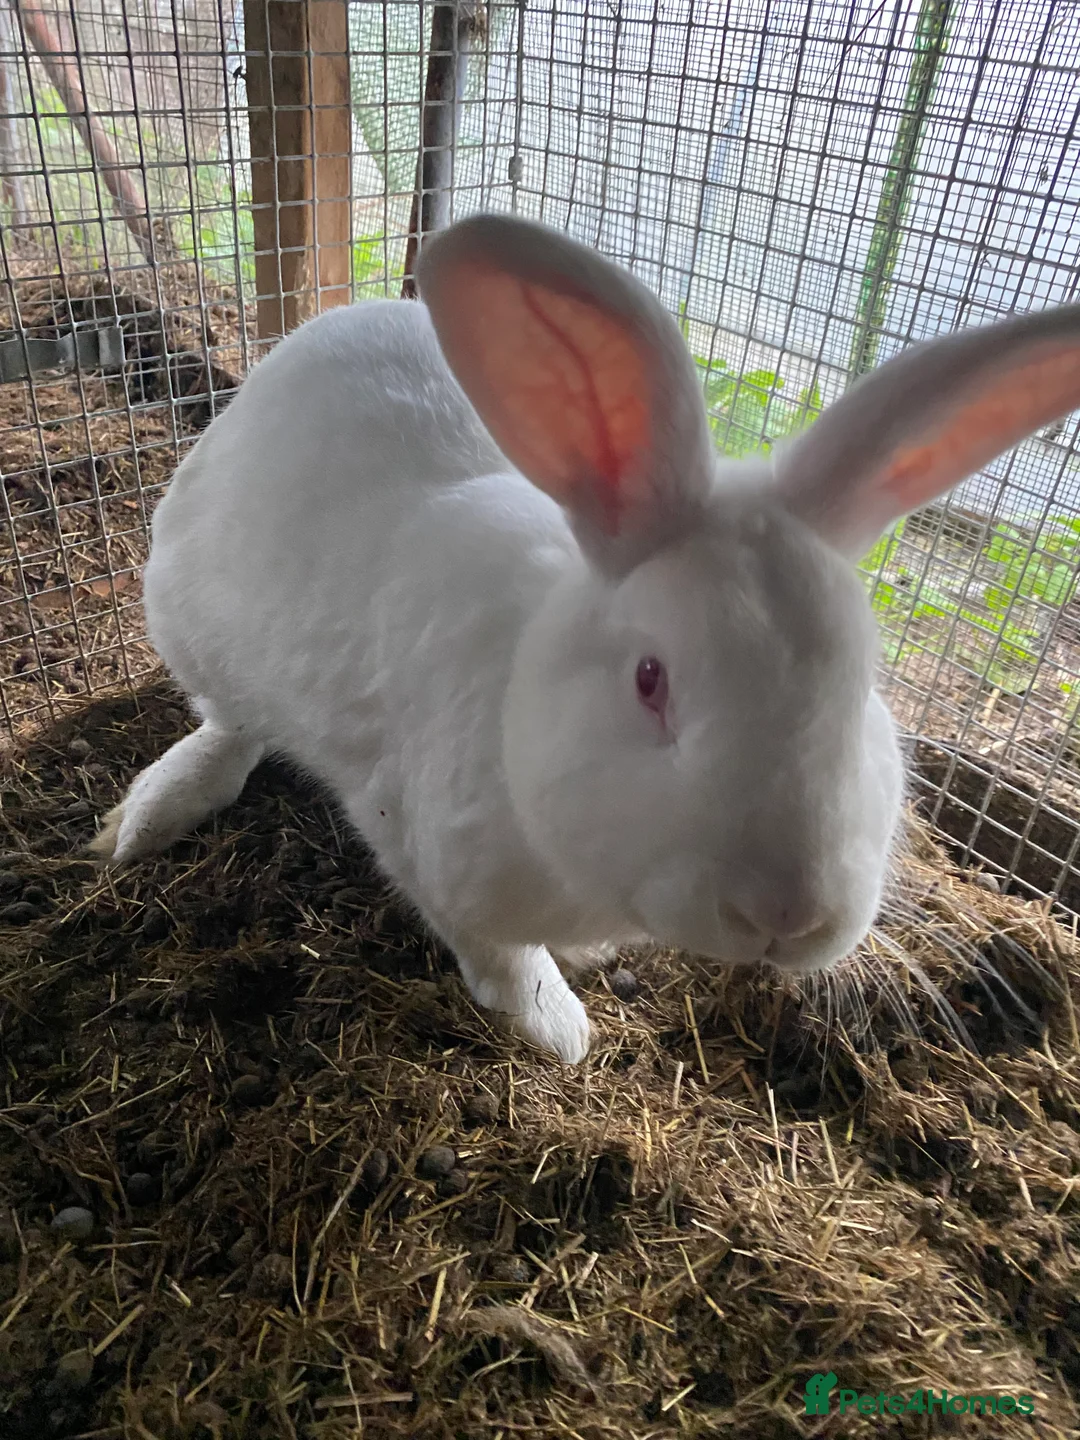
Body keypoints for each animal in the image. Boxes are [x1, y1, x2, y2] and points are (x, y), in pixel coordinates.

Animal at [88, 211, 1080, 1064]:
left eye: (865, 682)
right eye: (649, 678)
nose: (789, 915)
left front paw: (592, 960)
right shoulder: (423, 845)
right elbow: (498, 956)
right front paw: (558, 1027)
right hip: (188, 618)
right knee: (230, 727)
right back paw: (145, 818)